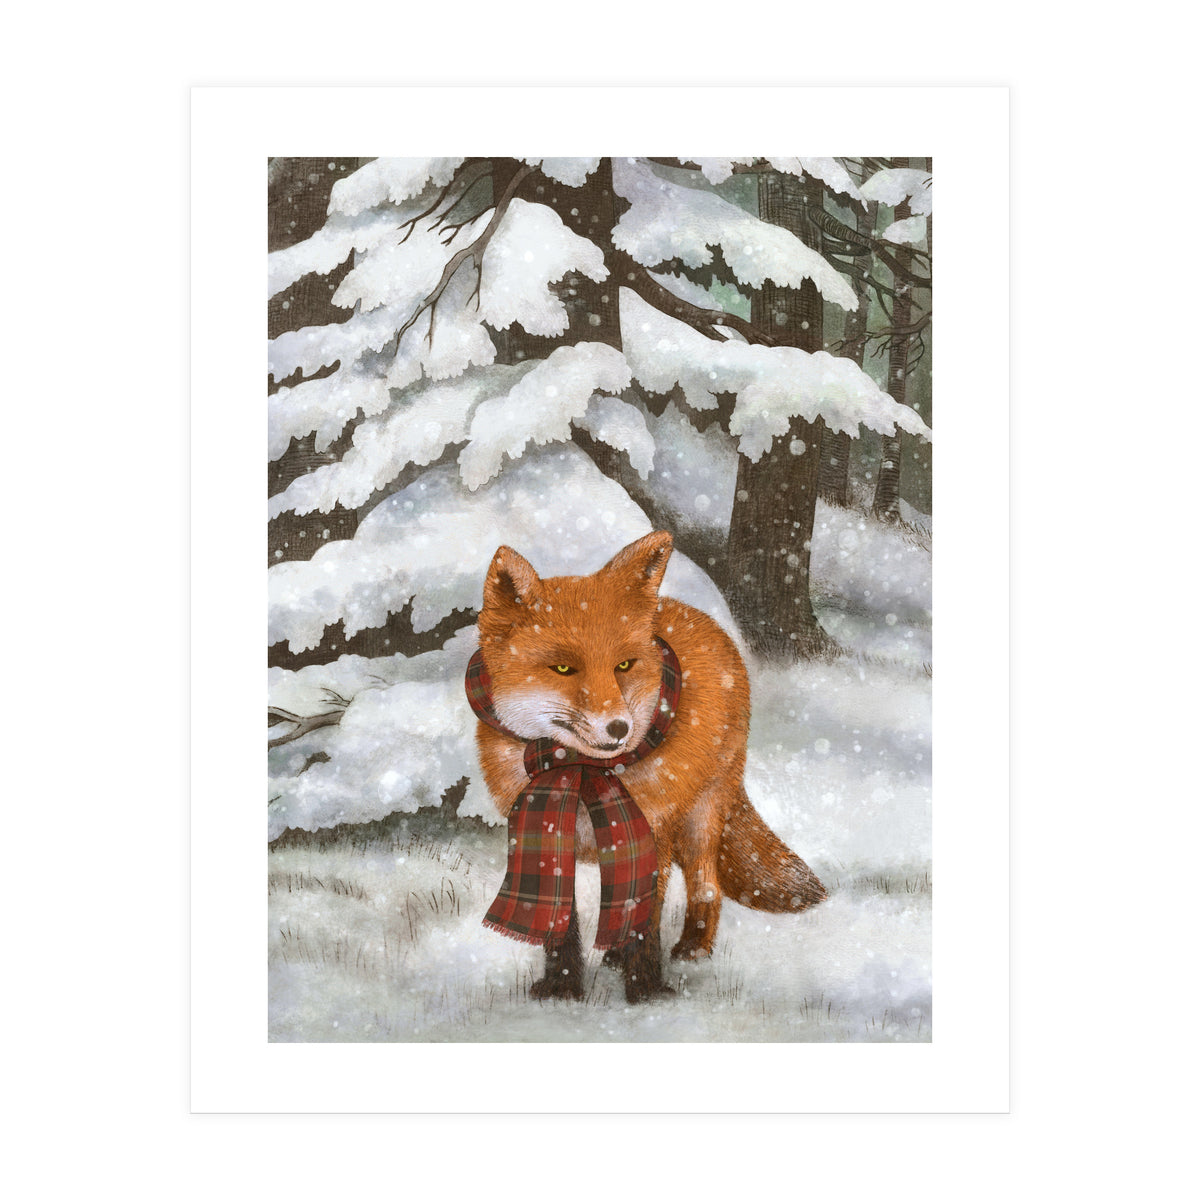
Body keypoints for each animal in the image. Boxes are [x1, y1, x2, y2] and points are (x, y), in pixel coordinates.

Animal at [471, 529, 827, 1003]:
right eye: (563, 668)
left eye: (624, 665)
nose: (619, 728)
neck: (579, 771)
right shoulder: (549, 832)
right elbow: (561, 921)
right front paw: (561, 989)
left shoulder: (650, 832)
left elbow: (644, 920)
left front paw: (646, 992)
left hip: (699, 819)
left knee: (705, 886)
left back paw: (692, 948)